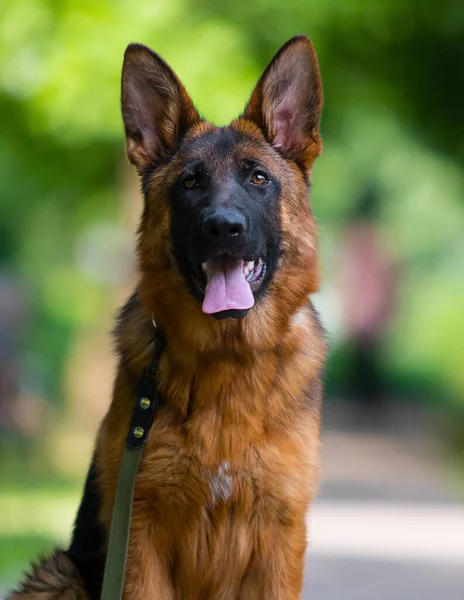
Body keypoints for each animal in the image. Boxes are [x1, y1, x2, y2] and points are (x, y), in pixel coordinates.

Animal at [8, 34, 326, 600]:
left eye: (259, 178)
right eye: (190, 183)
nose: (224, 228)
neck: (226, 361)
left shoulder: (279, 541)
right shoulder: (141, 537)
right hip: (58, 573)